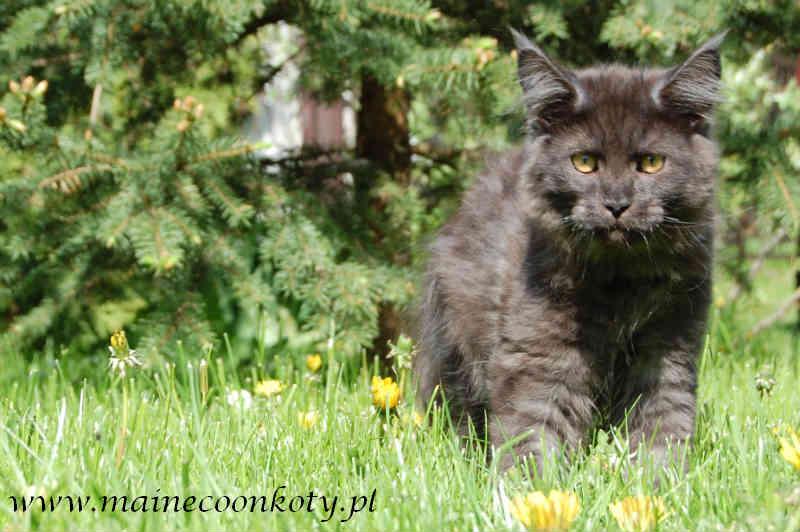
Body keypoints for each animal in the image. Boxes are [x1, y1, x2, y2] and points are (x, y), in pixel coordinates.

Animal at [412, 29, 724, 470]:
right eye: (584, 162)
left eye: (650, 163)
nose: (616, 204)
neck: (621, 280)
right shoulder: (541, 349)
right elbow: (534, 426)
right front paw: (529, 486)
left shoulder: (669, 345)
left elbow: (663, 422)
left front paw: (659, 481)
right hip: (455, 348)